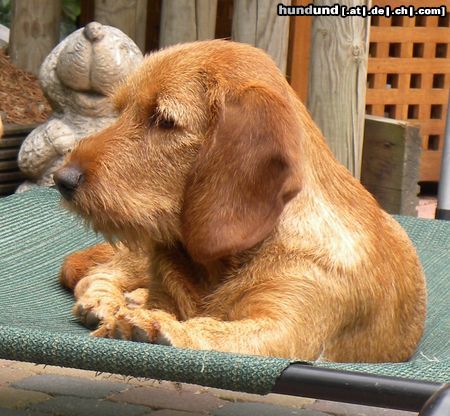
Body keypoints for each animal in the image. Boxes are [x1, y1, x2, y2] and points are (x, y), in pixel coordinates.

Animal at [53, 40, 426, 362]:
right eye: (120, 111)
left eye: (164, 120)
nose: (62, 179)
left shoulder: (284, 326)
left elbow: (211, 329)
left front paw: (156, 327)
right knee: (96, 273)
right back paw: (105, 301)